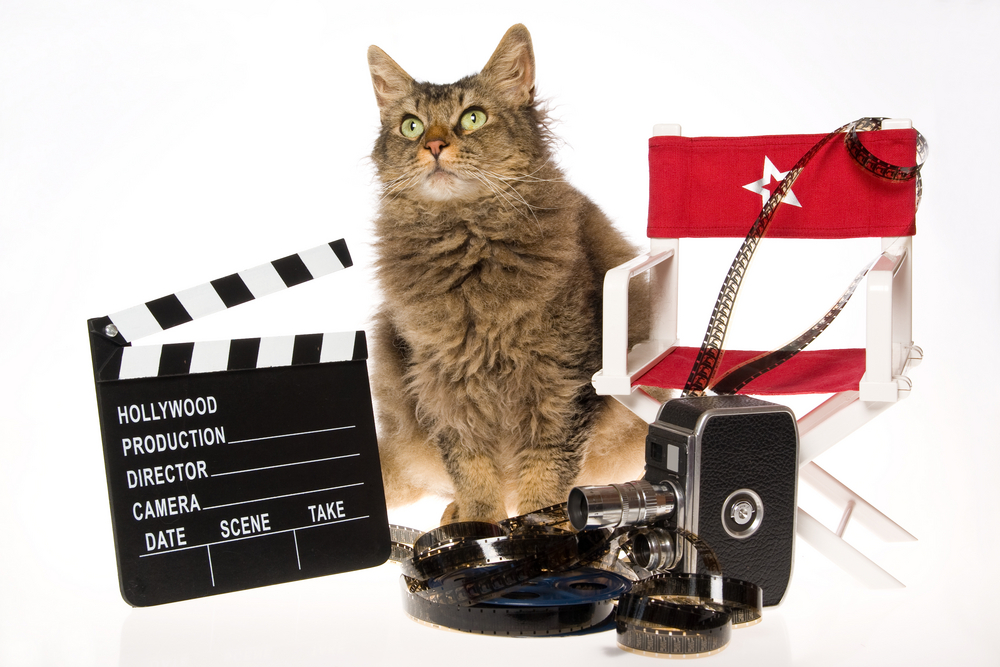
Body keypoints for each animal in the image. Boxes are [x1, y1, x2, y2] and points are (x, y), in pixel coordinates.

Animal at [364, 23, 652, 524]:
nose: (433, 146)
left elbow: (545, 484)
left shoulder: (561, 386)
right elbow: (474, 476)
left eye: (473, 118)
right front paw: (478, 525)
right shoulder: (445, 389)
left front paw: (544, 533)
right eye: (411, 126)